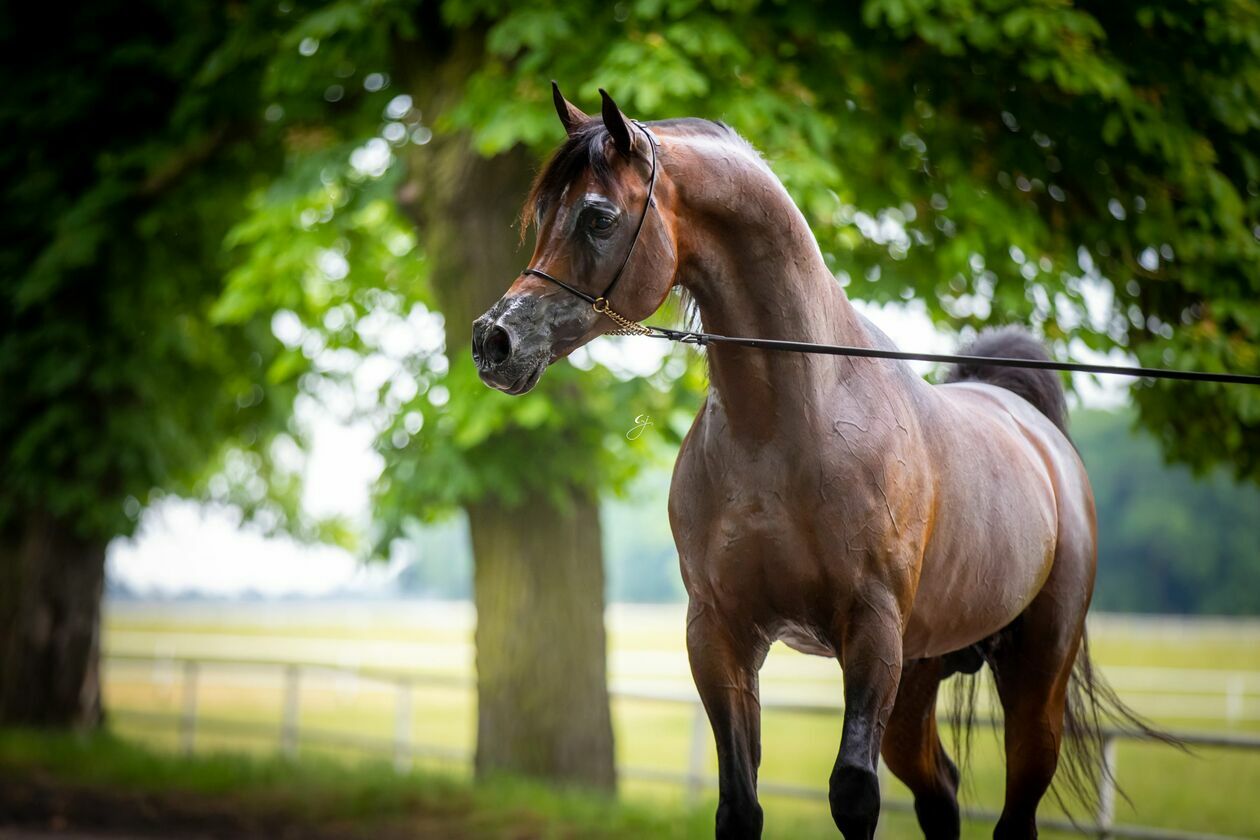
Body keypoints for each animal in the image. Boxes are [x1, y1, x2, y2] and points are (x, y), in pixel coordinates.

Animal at [473, 88, 1144, 836]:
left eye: (598, 216)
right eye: (543, 216)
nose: (494, 340)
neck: (787, 429)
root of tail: (1033, 431)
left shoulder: (872, 634)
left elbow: (853, 792)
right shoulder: (720, 634)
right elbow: (739, 803)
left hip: (1034, 676)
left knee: (1016, 805)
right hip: (921, 672)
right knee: (939, 789)